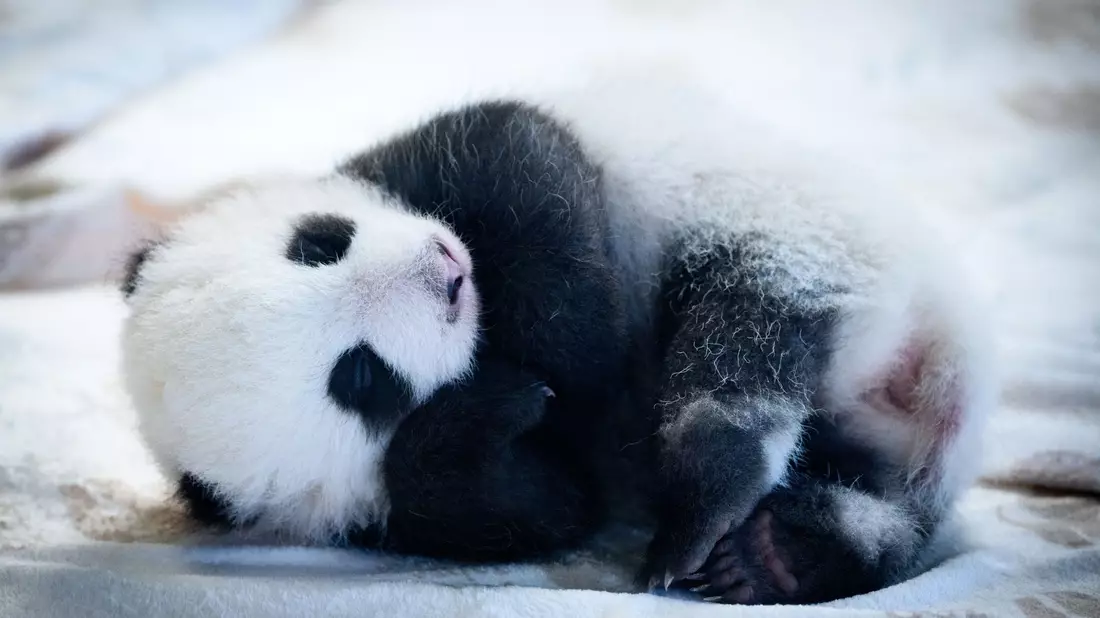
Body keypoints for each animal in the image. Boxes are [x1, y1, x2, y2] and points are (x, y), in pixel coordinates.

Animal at [119, 75, 995, 605]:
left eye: (318, 244)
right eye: (360, 379)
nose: (443, 275)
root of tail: (930, 360)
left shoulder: (428, 159)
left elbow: (523, 160)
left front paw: (572, 347)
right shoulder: (402, 515)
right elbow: (544, 501)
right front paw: (493, 409)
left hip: (801, 228)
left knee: (741, 334)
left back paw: (719, 516)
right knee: (836, 461)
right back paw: (768, 548)